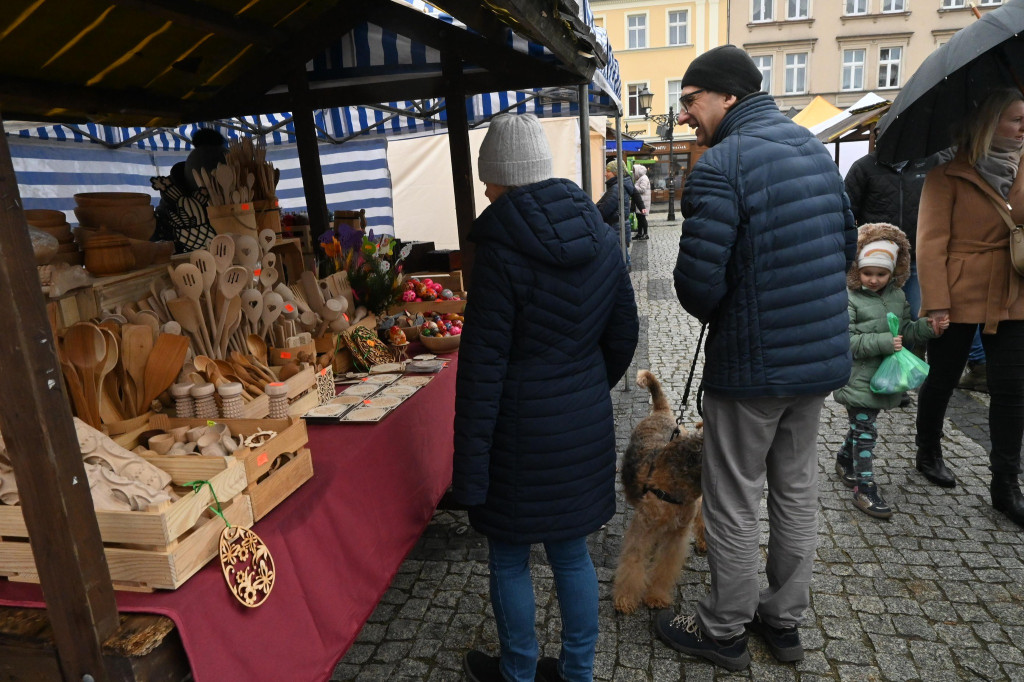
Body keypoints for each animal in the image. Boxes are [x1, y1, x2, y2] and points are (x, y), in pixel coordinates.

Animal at [606, 368, 704, 614]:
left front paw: (656, 596)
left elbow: (664, 569)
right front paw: (625, 600)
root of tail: (661, 410)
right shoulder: (642, 529)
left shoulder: (677, 537)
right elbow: (633, 564)